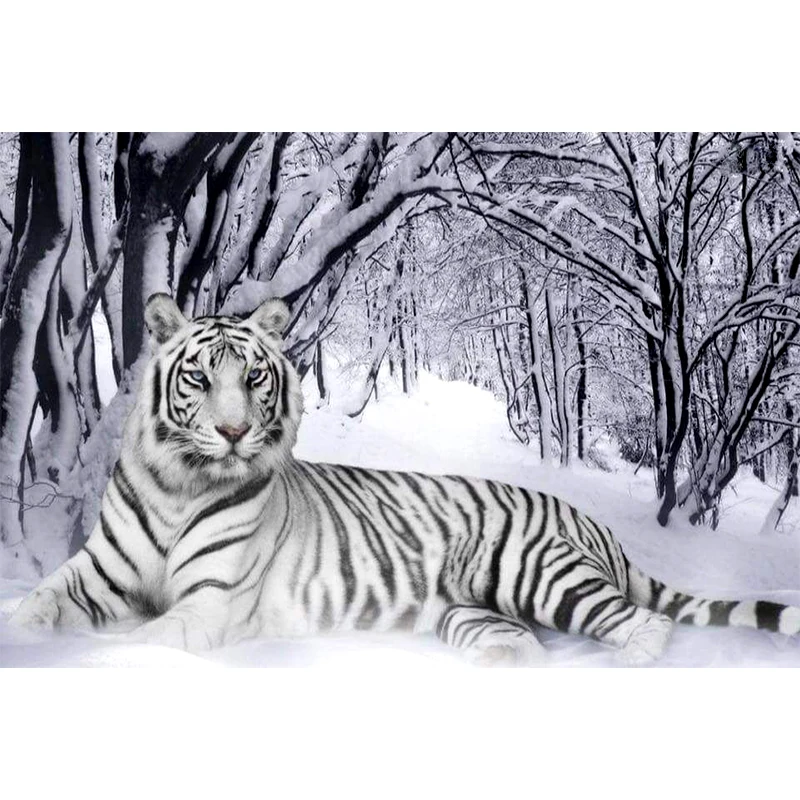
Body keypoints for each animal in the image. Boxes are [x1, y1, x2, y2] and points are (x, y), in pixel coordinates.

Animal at [9, 293, 800, 665]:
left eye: (255, 377)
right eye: (200, 378)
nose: (232, 433)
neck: (181, 485)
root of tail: (591, 520)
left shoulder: (206, 604)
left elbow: (139, 641)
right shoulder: (95, 576)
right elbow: (36, 607)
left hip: (537, 572)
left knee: (647, 622)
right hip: (470, 609)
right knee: (527, 642)